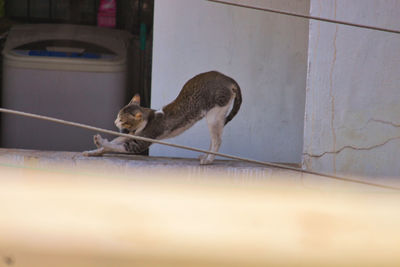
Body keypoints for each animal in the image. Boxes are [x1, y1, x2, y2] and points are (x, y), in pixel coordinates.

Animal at [83, 70, 242, 164]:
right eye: (117, 116)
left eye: (121, 119)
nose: (114, 121)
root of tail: (228, 78)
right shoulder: (131, 135)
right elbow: (114, 142)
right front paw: (93, 151)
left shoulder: (139, 142)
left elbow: (116, 146)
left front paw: (100, 142)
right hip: (218, 116)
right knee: (215, 138)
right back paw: (205, 156)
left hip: (215, 113)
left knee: (217, 140)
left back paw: (208, 159)